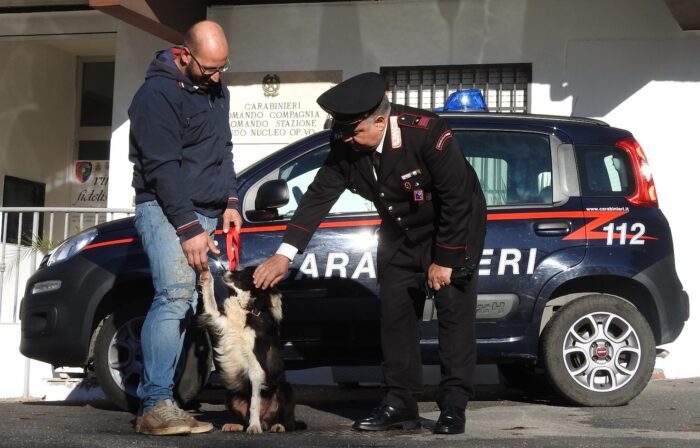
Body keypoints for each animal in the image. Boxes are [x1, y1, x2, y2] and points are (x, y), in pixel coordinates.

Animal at [198, 268, 296, 432]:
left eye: (244, 273)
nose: (225, 270)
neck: (248, 309)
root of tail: (265, 420)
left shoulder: (256, 367)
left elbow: (255, 403)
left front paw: (254, 426)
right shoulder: (218, 318)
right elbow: (209, 297)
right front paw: (206, 274)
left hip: (285, 389)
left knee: (287, 422)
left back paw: (276, 425)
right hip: (230, 395)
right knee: (244, 419)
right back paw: (235, 425)